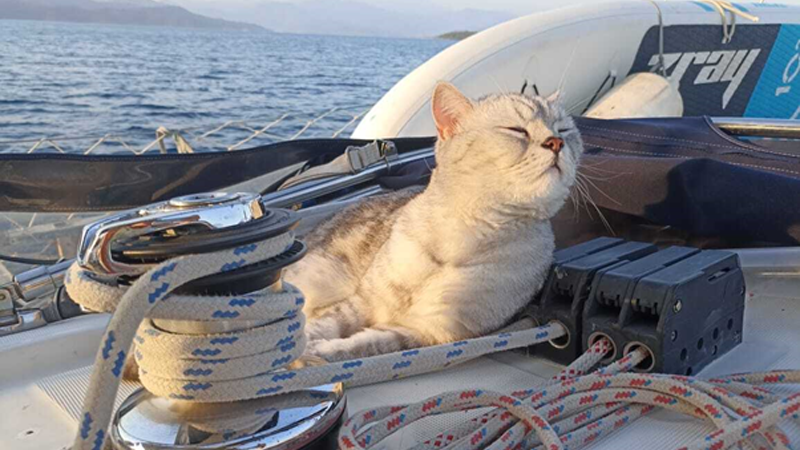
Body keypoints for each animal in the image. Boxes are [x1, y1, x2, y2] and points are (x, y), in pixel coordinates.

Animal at [282, 81, 580, 362]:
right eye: (516, 130)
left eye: (563, 130)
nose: (556, 142)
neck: (467, 234)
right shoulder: (364, 300)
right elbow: (327, 323)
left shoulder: (429, 331)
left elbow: (364, 345)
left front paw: (321, 350)